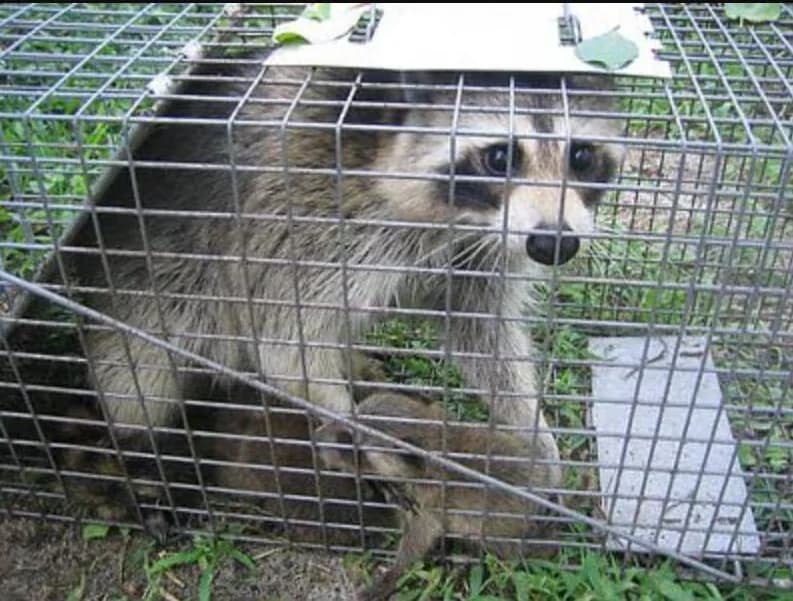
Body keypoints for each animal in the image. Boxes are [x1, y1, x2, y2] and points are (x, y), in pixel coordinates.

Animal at [49, 49, 622, 491]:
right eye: (501, 156)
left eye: (582, 156)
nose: (554, 243)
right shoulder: (302, 216)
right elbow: (287, 345)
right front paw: (357, 430)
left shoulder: (480, 250)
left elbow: (483, 336)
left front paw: (531, 430)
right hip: (141, 294)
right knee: (137, 384)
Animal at [316, 392, 560, 601]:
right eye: (350, 415)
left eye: (348, 441)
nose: (316, 437)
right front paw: (385, 485)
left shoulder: (430, 504)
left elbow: (418, 541)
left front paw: (392, 575)